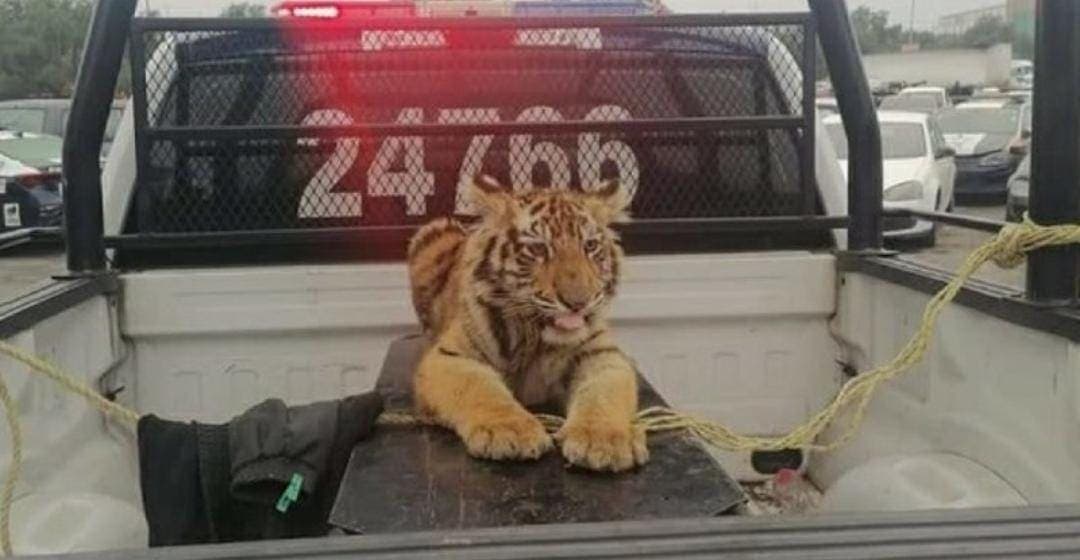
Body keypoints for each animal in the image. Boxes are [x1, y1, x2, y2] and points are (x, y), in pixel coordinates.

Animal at [406, 175, 648, 472]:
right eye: (537, 248)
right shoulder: (451, 356)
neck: (537, 337)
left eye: (590, 246)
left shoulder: (602, 356)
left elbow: (602, 394)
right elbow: (480, 388)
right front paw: (510, 431)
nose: (578, 302)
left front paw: (603, 439)